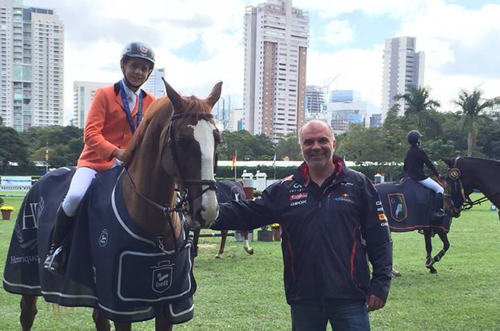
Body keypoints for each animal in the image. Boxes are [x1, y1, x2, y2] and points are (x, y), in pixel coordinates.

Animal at [1, 80, 221, 331]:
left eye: (218, 139)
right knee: (27, 314)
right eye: (183, 141)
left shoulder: (170, 301)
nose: (207, 210)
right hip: (27, 275)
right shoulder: (121, 306)